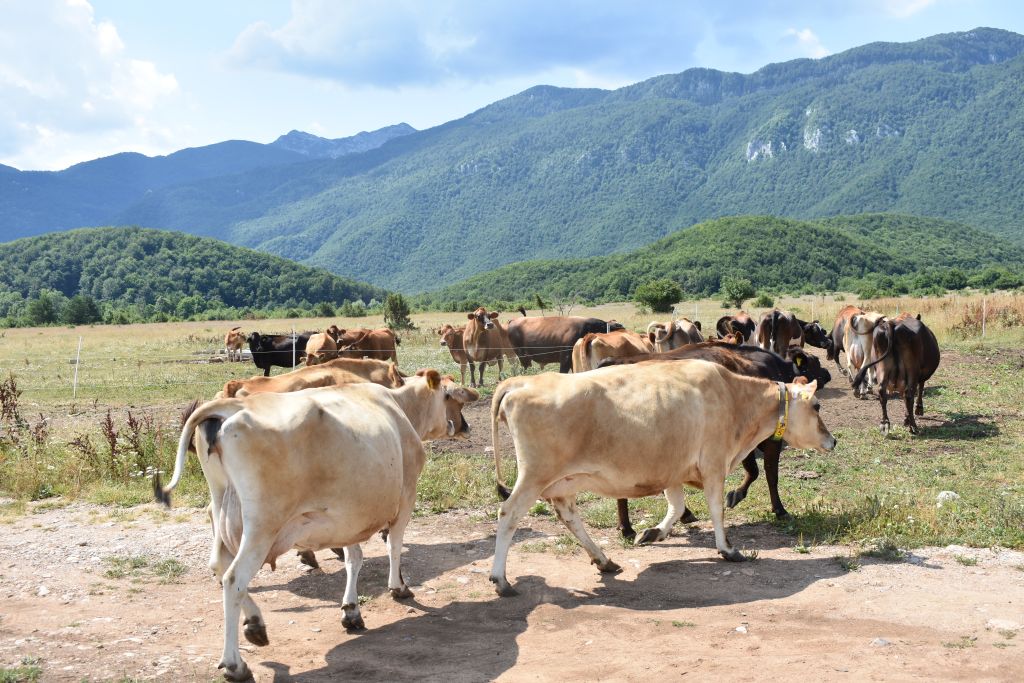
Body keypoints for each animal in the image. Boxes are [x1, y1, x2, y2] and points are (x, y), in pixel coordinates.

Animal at [154, 370, 479, 679]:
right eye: (450, 396)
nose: (466, 427)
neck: (399, 407)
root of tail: (231, 405)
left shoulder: (351, 513)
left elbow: (354, 557)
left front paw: (351, 611)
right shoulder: (407, 493)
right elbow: (394, 545)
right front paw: (398, 587)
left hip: (223, 510)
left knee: (220, 567)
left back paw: (256, 625)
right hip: (262, 525)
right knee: (234, 578)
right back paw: (236, 665)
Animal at [485, 360, 831, 593]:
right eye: (816, 405)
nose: (833, 441)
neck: (734, 397)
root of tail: (520, 383)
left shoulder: (673, 470)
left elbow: (676, 506)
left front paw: (653, 533)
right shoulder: (713, 464)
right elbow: (716, 510)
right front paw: (728, 549)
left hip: (561, 482)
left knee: (569, 516)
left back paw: (604, 560)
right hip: (534, 475)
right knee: (509, 513)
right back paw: (501, 579)